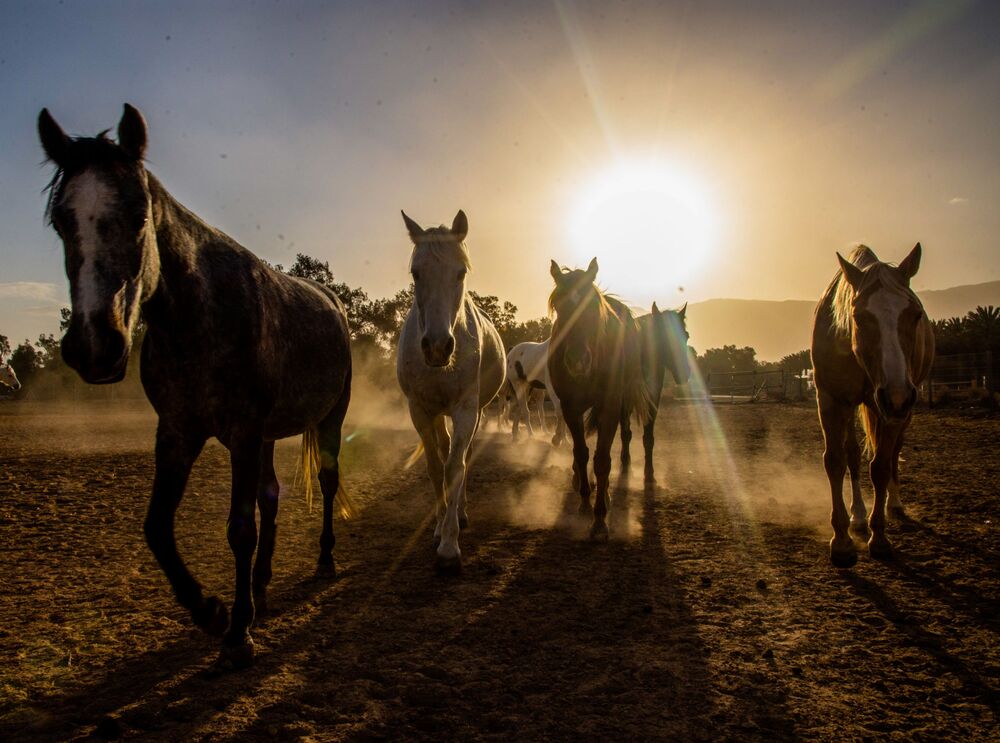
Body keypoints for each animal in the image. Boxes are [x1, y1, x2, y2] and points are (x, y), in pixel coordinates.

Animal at [38, 104, 353, 667]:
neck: (198, 316)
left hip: (328, 420)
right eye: (61, 221)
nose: (95, 344)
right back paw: (262, 587)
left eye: (139, 215)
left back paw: (323, 562)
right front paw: (212, 609)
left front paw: (237, 633)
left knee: (325, 482)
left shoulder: (243, 434)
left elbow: (240, 528)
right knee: (271, 497)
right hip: (267, 437)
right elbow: (158, 527)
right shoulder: (178, 431)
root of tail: (334, 303)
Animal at [396, 210, 506, 573]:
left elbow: (455, 467)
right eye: (416, 272)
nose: (437, 347)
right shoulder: (420, 410)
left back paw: (462, 512)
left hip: (476, 412)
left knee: (464, 457)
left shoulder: (465, 409)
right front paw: (438, 526)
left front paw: (449, 544)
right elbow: (435, 467)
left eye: (461, 272)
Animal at [547, 258, 650, 540]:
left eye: (593, 307)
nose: (577, 359)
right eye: (559, 306)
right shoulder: (570, 407)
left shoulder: (610, 407)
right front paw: (584, 499)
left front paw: (600, 518)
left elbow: (603, 459)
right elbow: (581, 452)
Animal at [620, 302, 691, 483]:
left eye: (686, 336)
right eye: (663, 336)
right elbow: (625, 433)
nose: (684, 373)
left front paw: (649, 473)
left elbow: (648, 438)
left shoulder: (652, 400)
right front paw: (625, 464)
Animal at [811, 243, 934, 567]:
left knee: (892, 455)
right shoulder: (831, 399)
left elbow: (879, 466)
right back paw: (858, 516)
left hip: (899, 409)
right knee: (853, 455)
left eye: (916, 314)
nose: (897, 393)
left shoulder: (891, 408)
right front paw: (841, 541)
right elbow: (836, 461)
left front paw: (879, 538)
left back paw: (895, 504)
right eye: (859, 316)